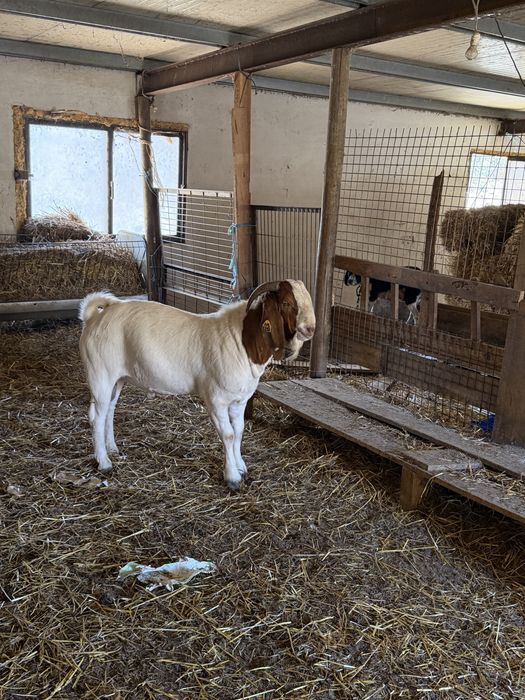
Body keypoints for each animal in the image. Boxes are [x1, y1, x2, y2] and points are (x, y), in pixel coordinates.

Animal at [79, 280, 315, 490]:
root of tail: (96, 316)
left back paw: (112, 448)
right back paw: (105, 463)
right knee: (97, 416)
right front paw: (232, 478)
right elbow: (228, 435)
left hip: (117, 378)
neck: (242, 340)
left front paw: (241, 467)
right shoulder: (216, 399)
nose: (310, 328)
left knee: (109, 410)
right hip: (100, 373)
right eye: (286, 302)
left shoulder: (240, 399)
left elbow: (239, 431)